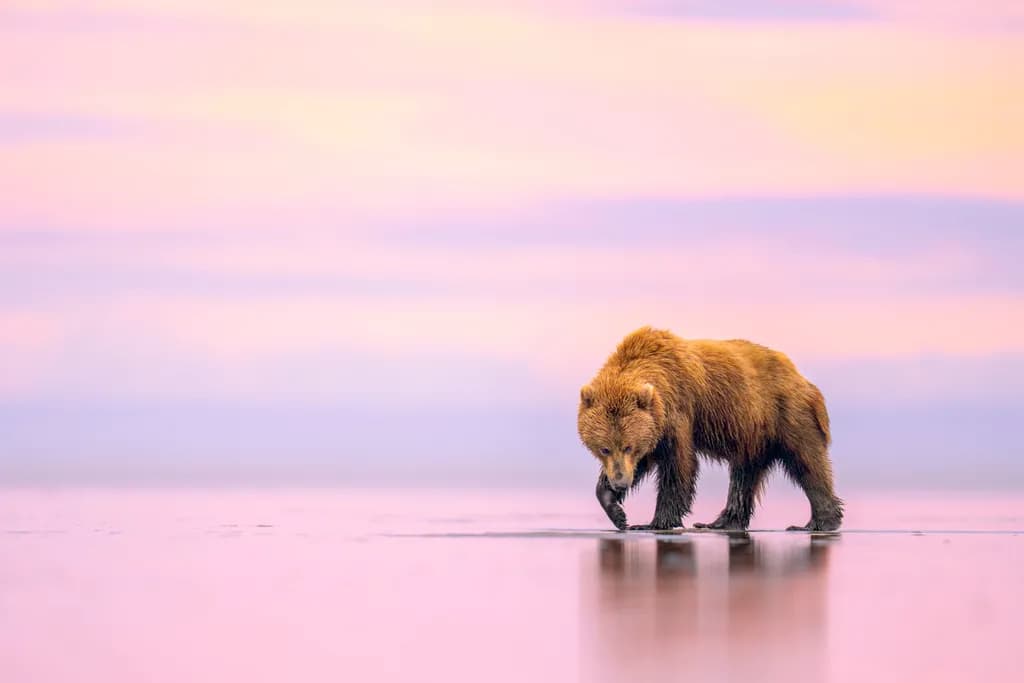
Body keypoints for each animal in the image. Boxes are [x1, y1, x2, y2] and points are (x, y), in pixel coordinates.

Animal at [578, 326, 843, 532]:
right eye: (604, 448)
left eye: (628, 446)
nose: (620, 483)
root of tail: (802, 377)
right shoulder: (655, 428)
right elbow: (645, 462)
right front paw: (615, 507)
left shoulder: (678, 413)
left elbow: (678, 466)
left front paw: (654, 522)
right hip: (753, 435)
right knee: (744, 474)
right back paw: (722, 522)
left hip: (786, 413)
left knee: (806, 462)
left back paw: (819, 522)